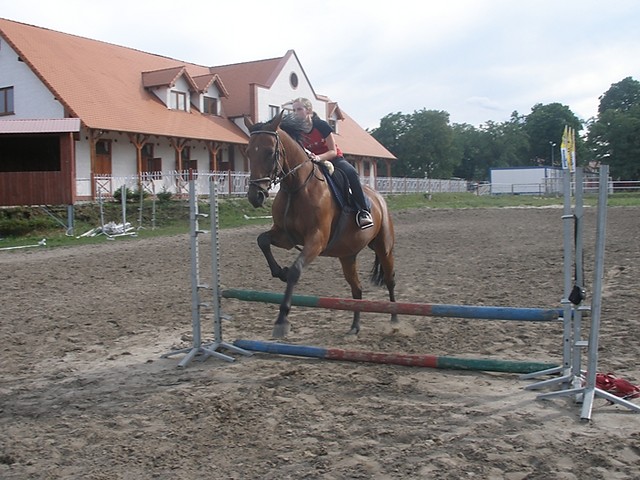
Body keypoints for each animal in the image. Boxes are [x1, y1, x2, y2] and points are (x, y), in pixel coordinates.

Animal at [244, 111, 396, 338]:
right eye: (247, 152)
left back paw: (395, 320)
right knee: (357, 289)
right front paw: (280, 272)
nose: (256, 196)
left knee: (389, 280)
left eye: (270, 152)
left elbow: (296, 271)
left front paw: (281, 320)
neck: (296, 187)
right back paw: (355, 327)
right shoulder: (286, 236)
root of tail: (379, 198)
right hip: (347, 255)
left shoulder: (316, 240)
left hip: (383, 247)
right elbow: (262, 240)